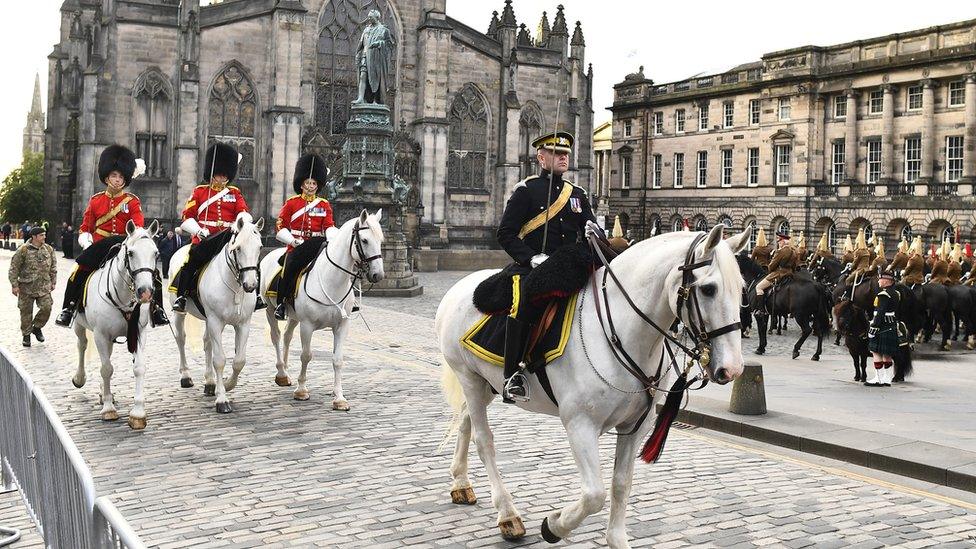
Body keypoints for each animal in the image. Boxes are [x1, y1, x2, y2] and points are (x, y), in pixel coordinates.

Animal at [71, 218, 162, 428]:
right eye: (131, 253)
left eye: (156, 253)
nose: (146, 292)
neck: (122, 296)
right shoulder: (100, 334)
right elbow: (106, 369)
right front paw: (108, 409)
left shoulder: (138, 332)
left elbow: (138, 368)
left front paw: (138, 413)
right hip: (80, 326)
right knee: (82, 345)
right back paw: (81, 378)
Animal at [168, 212, 264, 414]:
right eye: (238, 248)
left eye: (259, 247)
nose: (250, 285)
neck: (235, 287)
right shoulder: (215, 321)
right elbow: (219, 360)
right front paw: (222, 399)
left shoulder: (243, 323)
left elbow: (239, 360)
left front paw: (226, 385)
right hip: (181, 314)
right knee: (181, 339)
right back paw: (186, 376)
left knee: (207, 343)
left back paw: (210, 382)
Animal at [262, 208, 386, 408]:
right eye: (365, 240)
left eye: (381, 240)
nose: (378, 275)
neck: (332, 281)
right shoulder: (307, 325)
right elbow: (306, 355)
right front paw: (301, 390)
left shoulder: (342, 326)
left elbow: (338, 360)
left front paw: (339, 398)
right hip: (270, 311)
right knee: (276, 336)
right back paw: (281, 373)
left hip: (294, 316)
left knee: (287, 336)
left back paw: (287, 371)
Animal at [438, 225, 752, 544]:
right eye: (709, 289)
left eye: (741, 288)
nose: (732, 368)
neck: (625, 333)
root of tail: (459, 287)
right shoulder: (580, 424)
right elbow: (594, 495)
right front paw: (554, 525)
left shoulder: (635, 426)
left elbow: (621, 484)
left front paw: (616, 539)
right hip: (469, 378)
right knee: (484, 440)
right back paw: (507, 513)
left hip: (485, 383)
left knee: (465, 421)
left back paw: (461, 482)